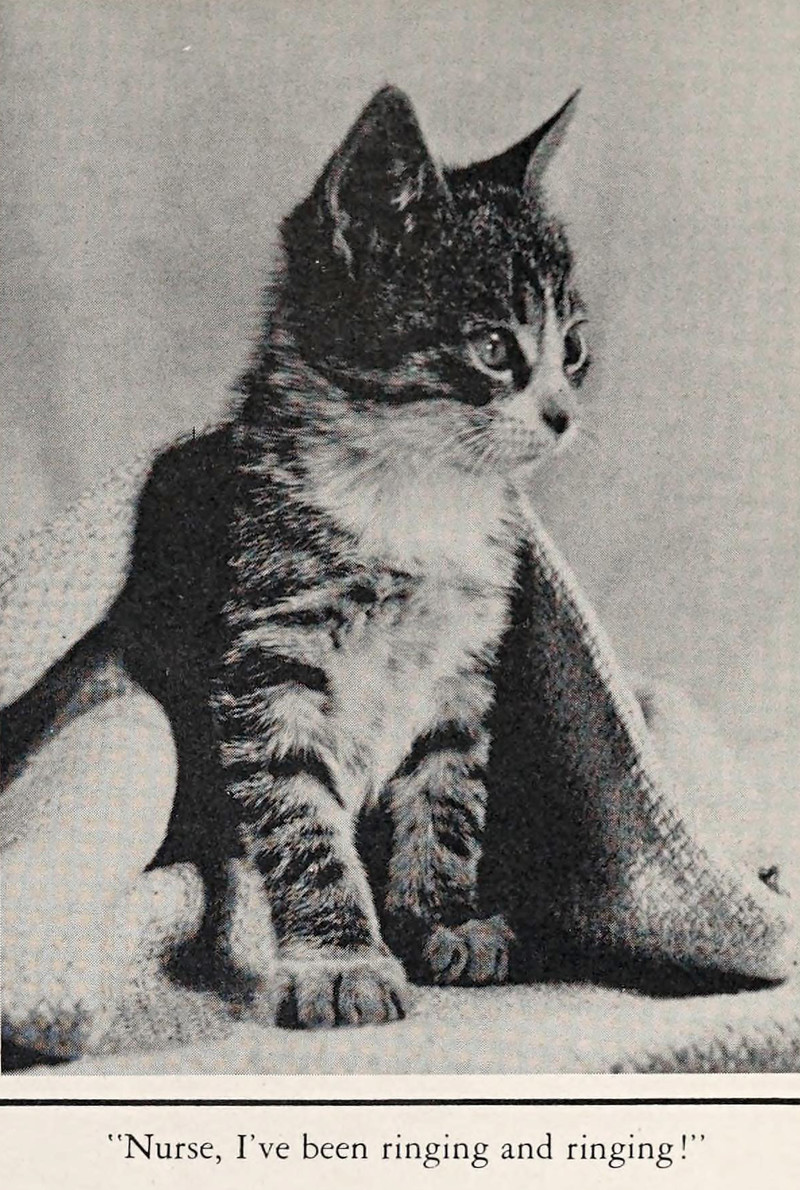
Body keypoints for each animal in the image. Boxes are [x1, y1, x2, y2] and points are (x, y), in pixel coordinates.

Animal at [211, 84, 590, 1028]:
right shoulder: (269, 650)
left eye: (573, 348)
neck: (414, 490)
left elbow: (447, 790)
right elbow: (298, 811)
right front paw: (341, 959)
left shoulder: (463, 661)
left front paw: (439, 920)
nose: (564, 416)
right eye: (494, 348)